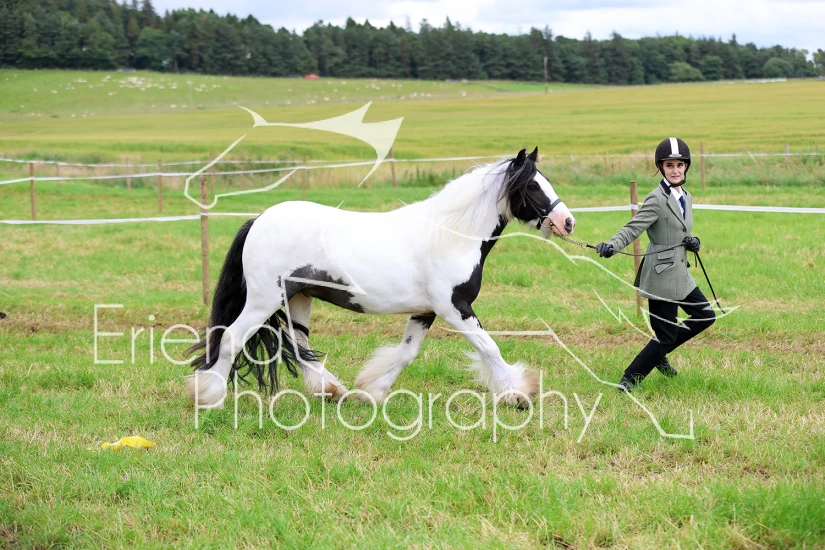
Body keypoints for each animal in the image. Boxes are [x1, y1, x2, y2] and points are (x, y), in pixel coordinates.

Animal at [186, 147, 576, 408]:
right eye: (534, 187)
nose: (567, 222)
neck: (449, 236)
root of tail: (258, 220)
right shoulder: (455, 307)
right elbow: (489, 347)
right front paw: (519, 394)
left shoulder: (426, 311)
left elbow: (405, 353)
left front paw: (370, 391)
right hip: (264, 300)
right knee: (231, 339)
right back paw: (210, 397)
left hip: (298, 298)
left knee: (299, 346)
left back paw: (333, 390)